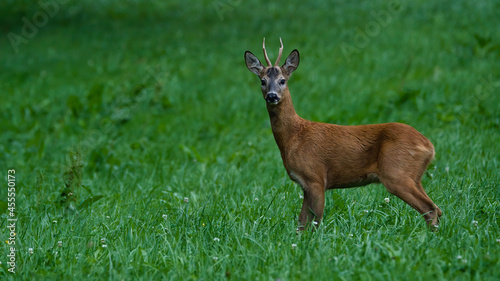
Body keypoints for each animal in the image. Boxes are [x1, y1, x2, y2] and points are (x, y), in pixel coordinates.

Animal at [243, 37, 442, 230]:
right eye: (262, 81)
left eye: (283, 80)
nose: (272, 96)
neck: (293, 137)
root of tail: (429, 146)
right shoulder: (305, 184)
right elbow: (301, 223)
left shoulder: (315, 177)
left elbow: (314, 222)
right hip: (414, 176)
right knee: (436, 209)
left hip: (396, 173)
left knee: (430, 209)